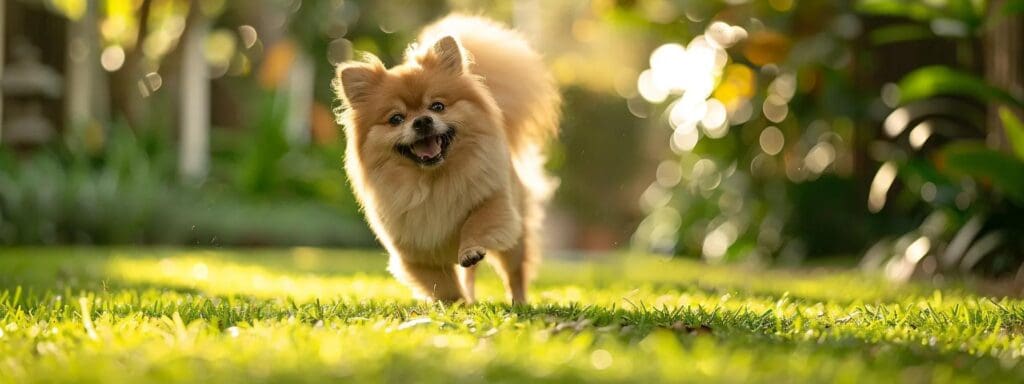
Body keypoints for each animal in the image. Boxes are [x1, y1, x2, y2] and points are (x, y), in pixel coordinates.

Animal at [333, 14, 561, 303]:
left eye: (438, 106)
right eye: (396, 119)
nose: (422, 121)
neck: (434, 182)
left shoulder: (494, 202)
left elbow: (476, 224)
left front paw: (470, 250)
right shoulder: (415, 253)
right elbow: (443, 284)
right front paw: (457, 305)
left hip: (516, 236)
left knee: (515, 273)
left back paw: (518, 302)